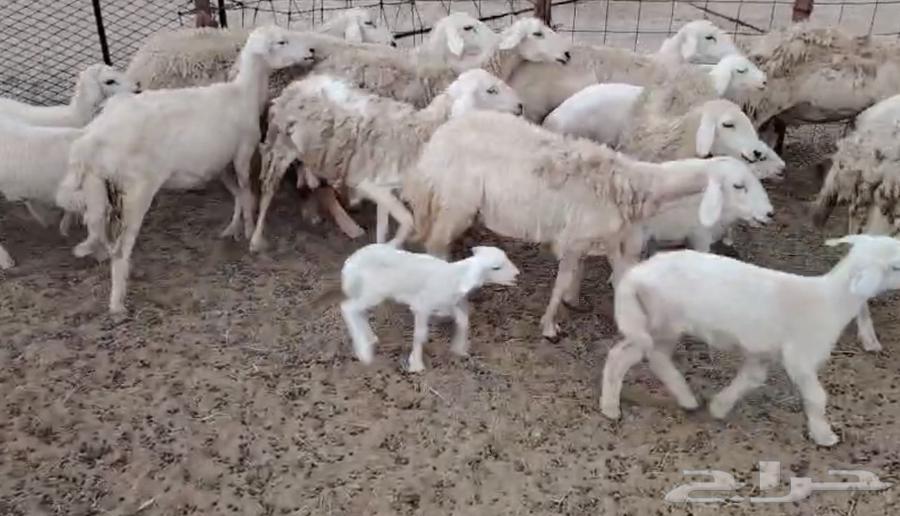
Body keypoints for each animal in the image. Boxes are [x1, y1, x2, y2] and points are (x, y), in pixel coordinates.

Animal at [61, 26, 318, 314]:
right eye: (281, 41)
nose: (311, 51)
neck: (243, 93)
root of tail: (91, 140)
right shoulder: (242, 152)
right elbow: (246, 190)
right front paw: (250, 231)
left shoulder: (218, 163)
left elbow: (238, 195)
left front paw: (234, 228)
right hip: (137, 188)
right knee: (120, 247)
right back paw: (117, 304)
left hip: (101, 189)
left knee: (107, 235)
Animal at [250, 68, 523, 252]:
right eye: (491, 90)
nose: (521, 107)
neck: (419, 134)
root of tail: (297, 83)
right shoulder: (368, 183)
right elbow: (409, 221)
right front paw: (394, 244)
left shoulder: (386, 188)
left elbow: (384, 225)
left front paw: (380, 251)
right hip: (278, 147)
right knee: (267, 193)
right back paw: (256, 239)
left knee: (307, 178)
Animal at [313, 243, 519, 372]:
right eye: (496, 267)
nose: (517, 274)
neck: (456, 276)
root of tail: (349, 264)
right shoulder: (422, 306)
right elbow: (420, 334)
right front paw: (416, 364)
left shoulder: (445, 304)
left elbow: (463, 319)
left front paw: (459, 348)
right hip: (374, 291)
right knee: (348, 308)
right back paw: (364, 352)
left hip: (369, 293)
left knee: (359, 311)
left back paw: (370, 339)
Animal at [405, 110, 742, 340]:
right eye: (739, 184)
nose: (753, 153)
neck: (634, 183)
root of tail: (435, 143)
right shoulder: (577, 237)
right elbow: (563, 279)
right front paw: (550, 326)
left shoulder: (604, 239)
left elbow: (611, 275)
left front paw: (581, 304)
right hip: (455, 203)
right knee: (436, 245)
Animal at [601, 234, 900, 446]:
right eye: (895, 266)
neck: (830, 302)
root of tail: (635, 276)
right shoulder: (800, 357)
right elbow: (817, 396)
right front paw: (824, 435)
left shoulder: (762, 353)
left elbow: (751, 379)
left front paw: (720, 407)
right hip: (658, 321)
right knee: (623, 355)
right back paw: (610, 407)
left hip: (662, 323)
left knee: (656, 358)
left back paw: (686, 398)